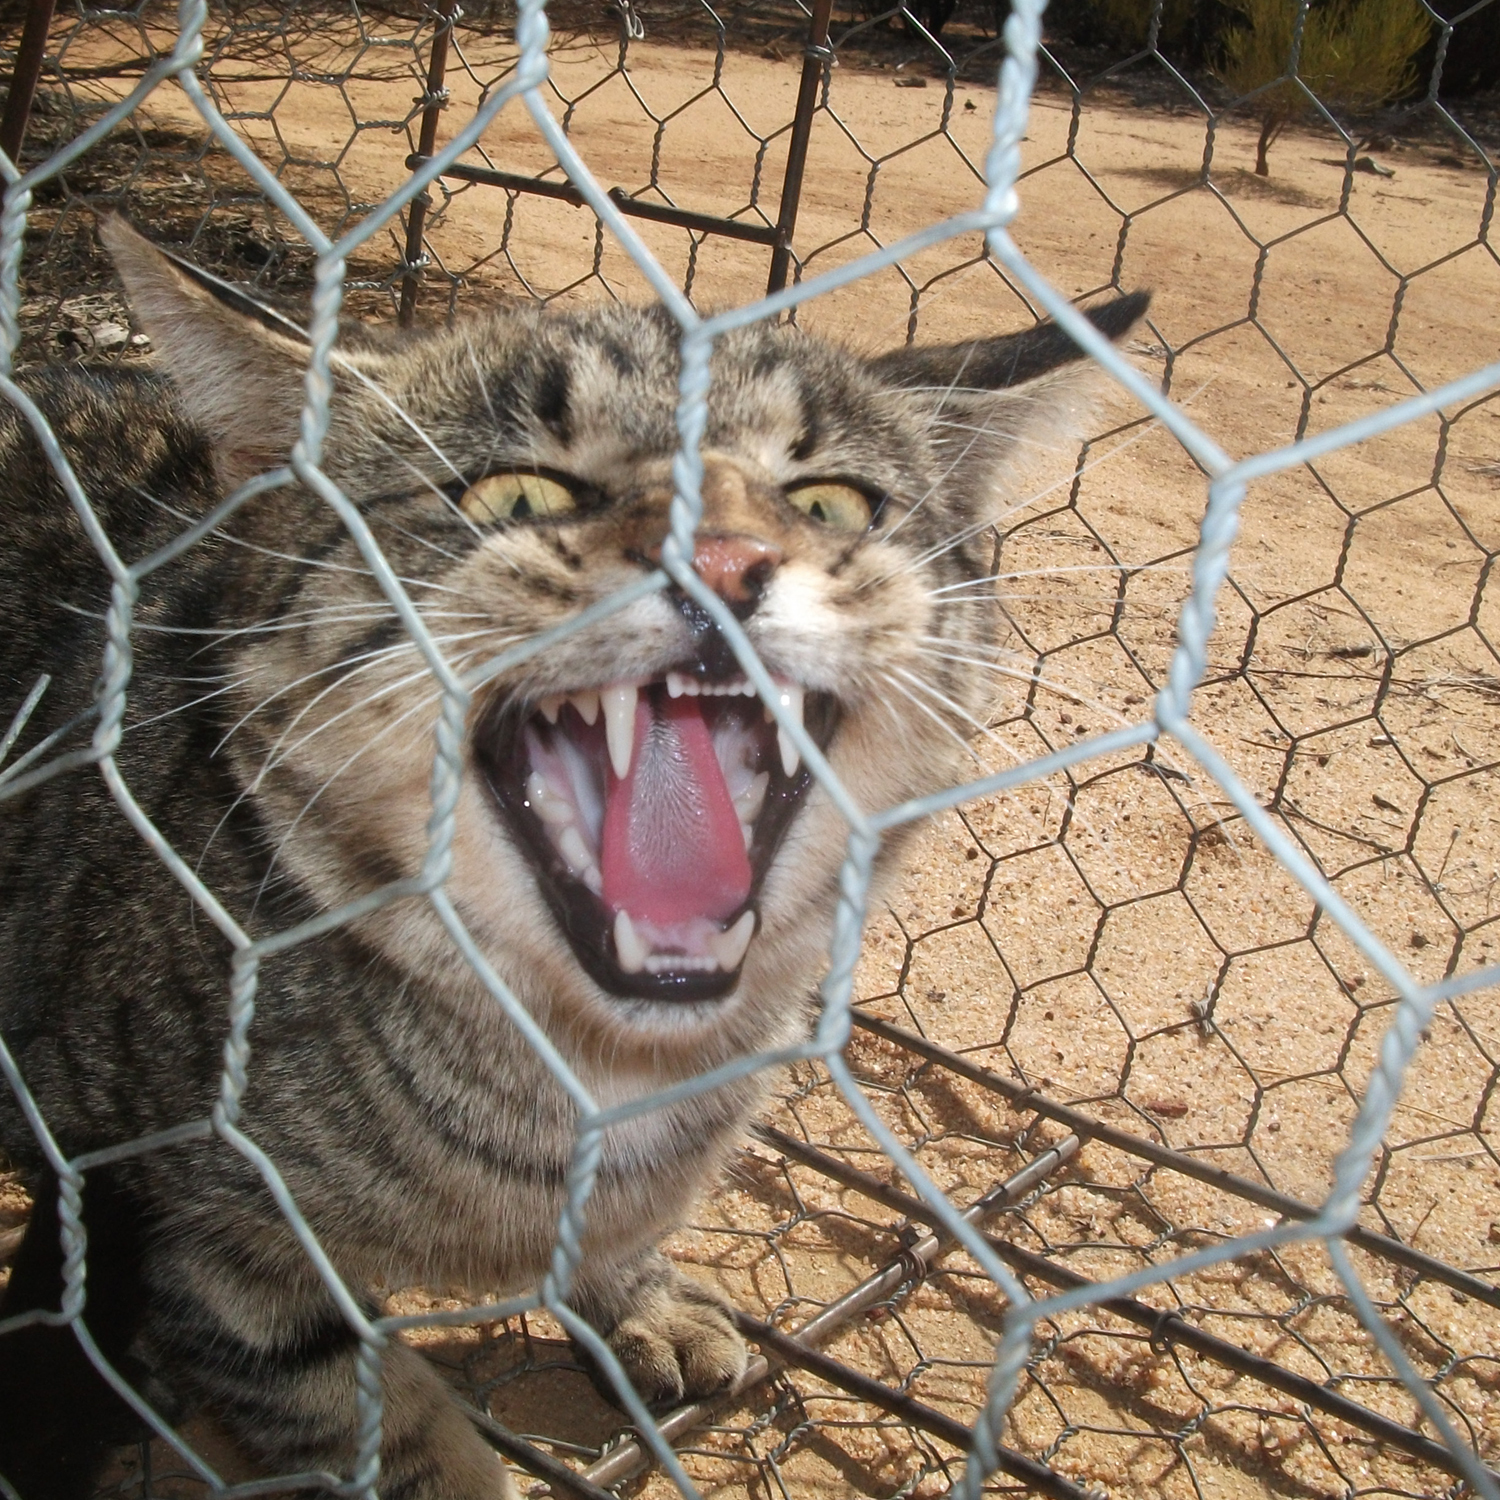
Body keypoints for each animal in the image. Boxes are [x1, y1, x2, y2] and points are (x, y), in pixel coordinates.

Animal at [0, 219, 1140, 1500]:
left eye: (830, 504)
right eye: (521, 492)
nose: (727, 559)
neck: (599, 1083)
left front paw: (635, 1294)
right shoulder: (188, 1226)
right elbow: (360, 1410)